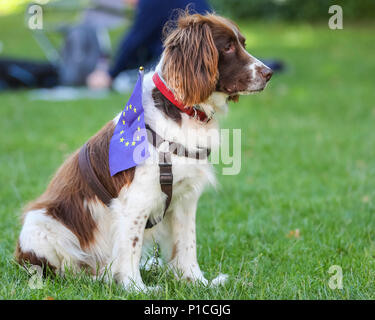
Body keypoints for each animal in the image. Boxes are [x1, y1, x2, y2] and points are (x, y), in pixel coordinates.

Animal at [15, 12, 274, 290]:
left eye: (243, 44)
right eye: (227, 47)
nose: (269, 73)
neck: (183, 110)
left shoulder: (185, 199)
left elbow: (187, 244)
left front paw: (198, 282)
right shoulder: (135, 202)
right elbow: (131, 247)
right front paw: (135, 288)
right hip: (41, 226)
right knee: (67, 271)